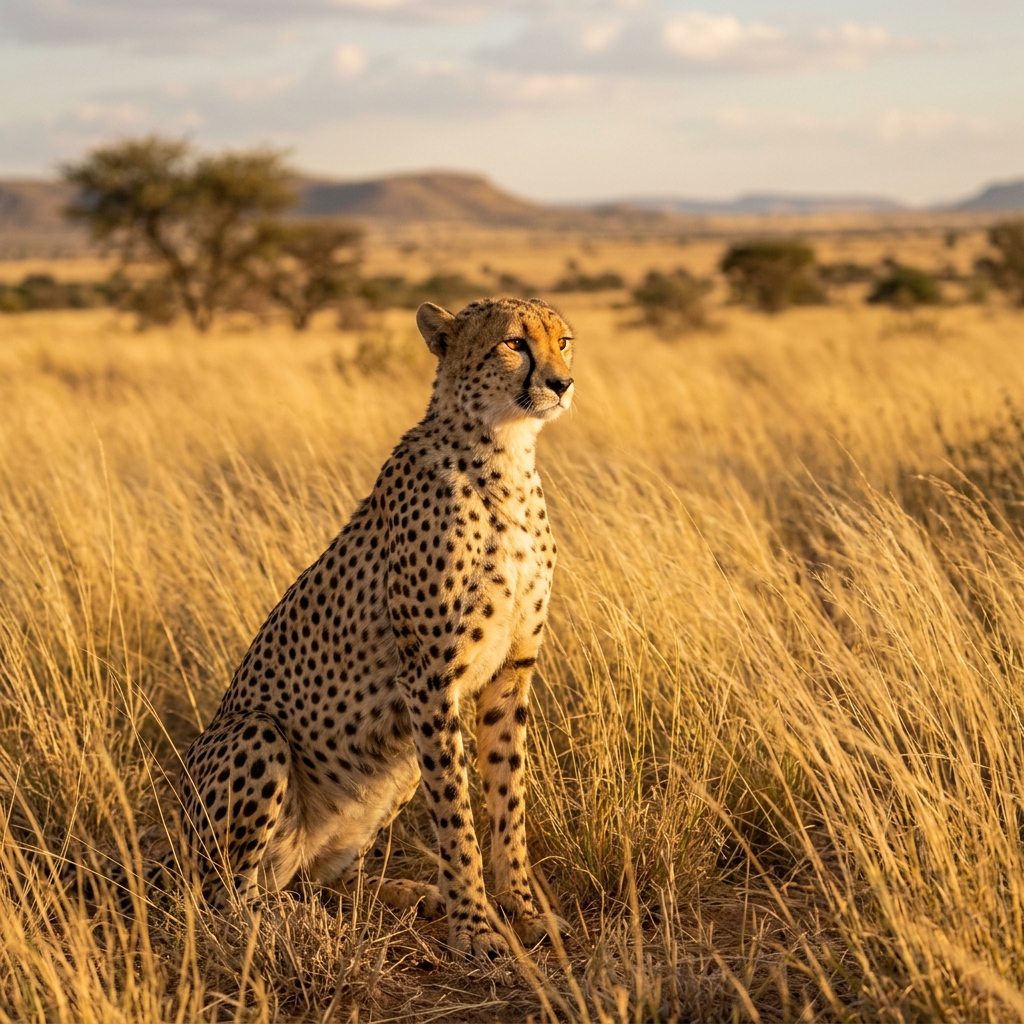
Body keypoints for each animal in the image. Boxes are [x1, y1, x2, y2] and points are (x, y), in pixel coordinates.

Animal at [177, 296, 575, 960]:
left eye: (564, 341)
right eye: (515, 343)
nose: (562, 384)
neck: (505, 455)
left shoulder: (511, 672)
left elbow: (507, 801)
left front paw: (522, 909)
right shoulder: (430, 679)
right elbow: (457, 815)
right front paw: (476, 928)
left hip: (394, 768)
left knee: (317, 880)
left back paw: (405, 895)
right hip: (255, 736)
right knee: (222, 897)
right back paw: (291, 924)